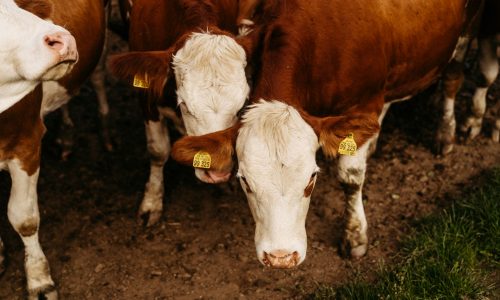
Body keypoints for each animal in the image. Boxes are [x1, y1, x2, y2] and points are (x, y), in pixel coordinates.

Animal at [109, 0, 250, 225]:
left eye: (242, 104)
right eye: (184, 103)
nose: (218, 174)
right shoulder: (147, 97)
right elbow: (158, 150)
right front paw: (152, 201)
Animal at [169, 0, 484, 268]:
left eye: (312, 179)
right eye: (245, 181)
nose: (281, 257)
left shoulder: (365, 102)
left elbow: (351, 178)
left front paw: (355, 236)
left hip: (466, 30)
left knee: (453, 77)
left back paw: (445, 132)